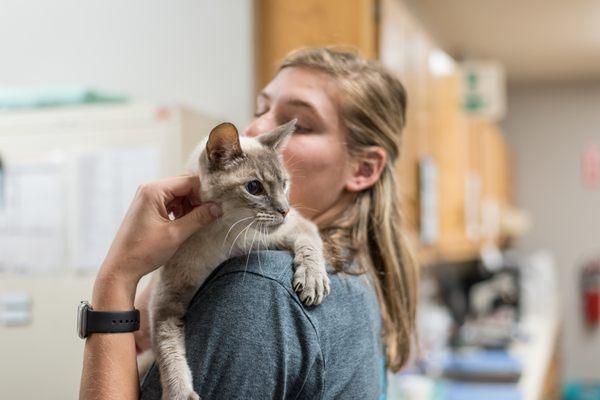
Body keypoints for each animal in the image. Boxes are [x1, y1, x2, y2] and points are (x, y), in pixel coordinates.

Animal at [147, 119, 330, 400]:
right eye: (254, 187)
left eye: (284, 184)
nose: (284, 210)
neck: (221, 235)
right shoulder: (165, 304)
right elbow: (169, 351)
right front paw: (180, 393)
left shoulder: (293, 226)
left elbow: (310, 243)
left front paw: (312, 281)